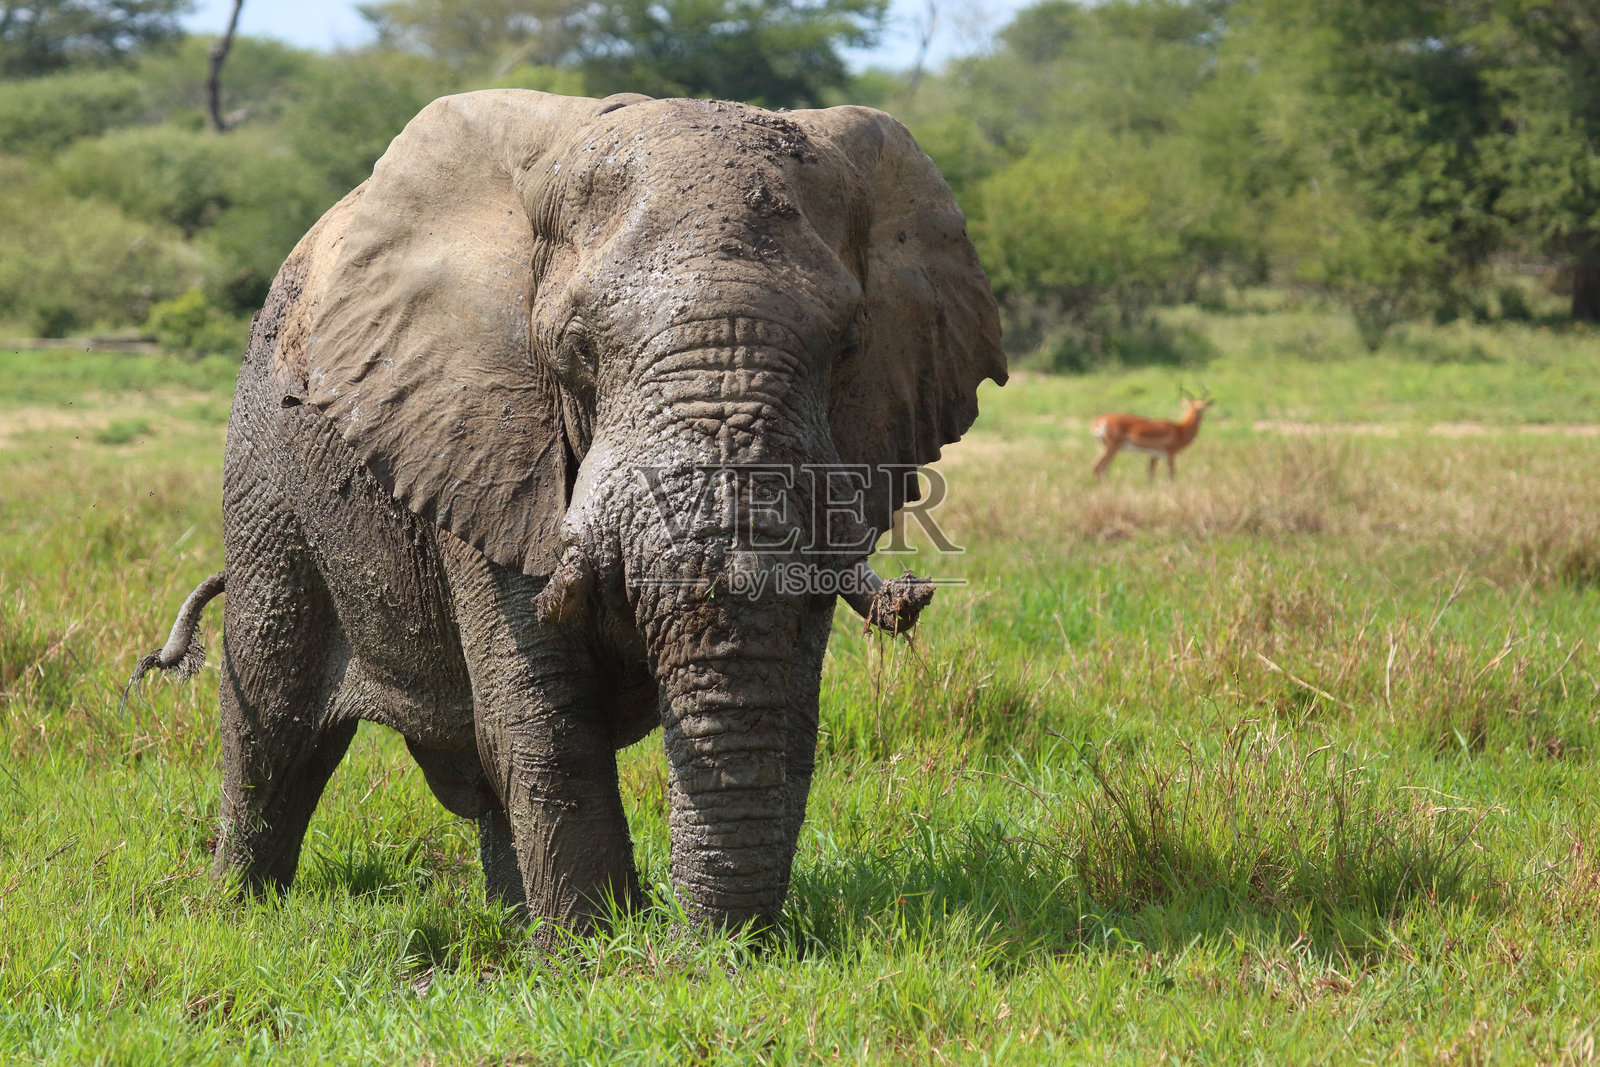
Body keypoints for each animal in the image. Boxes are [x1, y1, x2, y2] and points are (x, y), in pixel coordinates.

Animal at [129, 89, 1005, 938]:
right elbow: (543, 716)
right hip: (265, 471)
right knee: (274, 715)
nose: (693, 953)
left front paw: (644, 952)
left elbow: (787, 708)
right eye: (578, 349)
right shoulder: (483, 439)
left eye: (849, 347)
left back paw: (514, 927)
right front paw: (596, 956)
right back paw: (240, 916)